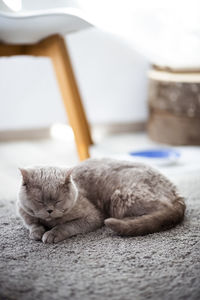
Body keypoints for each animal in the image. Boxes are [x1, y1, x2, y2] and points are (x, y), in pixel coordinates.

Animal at [17, 158, 186, 243]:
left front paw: (52, 234)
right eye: (40, 201)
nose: (49, 210)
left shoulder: (92, 217)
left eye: (58, 201)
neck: (50, 221)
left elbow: (66, 225)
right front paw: (37, 232)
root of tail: (175, 190)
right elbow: (32, 223)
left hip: (122, 197)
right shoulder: (24, 213)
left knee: (162, 208)